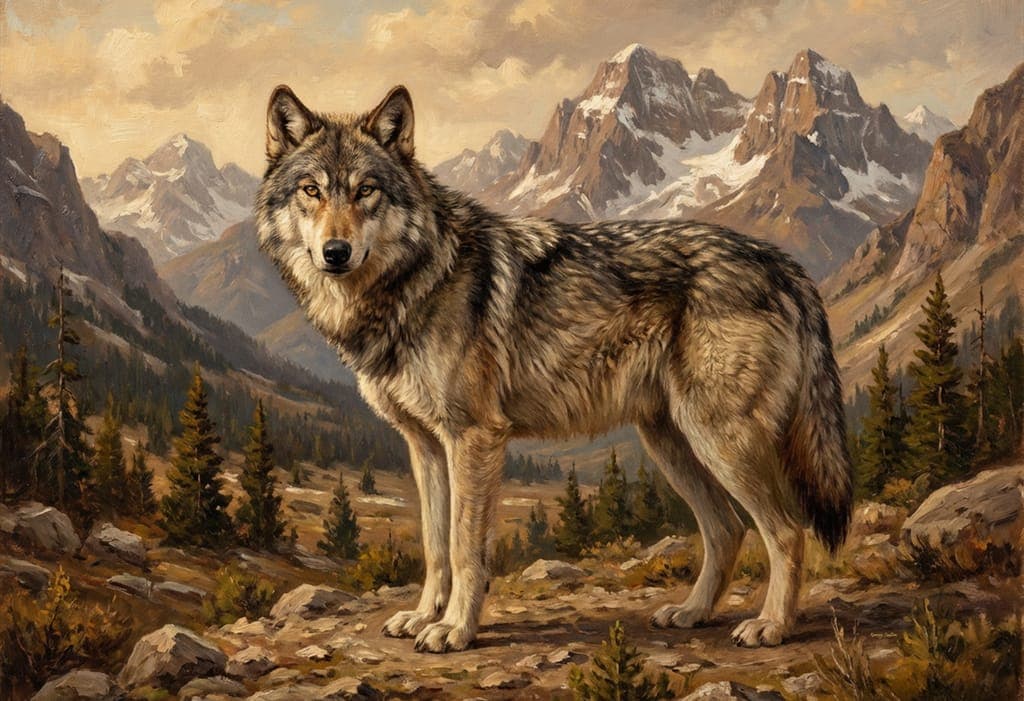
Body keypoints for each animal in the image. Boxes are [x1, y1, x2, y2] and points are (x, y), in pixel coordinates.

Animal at [255, 84, 853, 653]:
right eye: (311, 190)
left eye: (366, 191)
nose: (336, 252)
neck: (413, 280)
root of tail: (781, 263)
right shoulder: (424, 445)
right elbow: (434, 544)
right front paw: (425, 616)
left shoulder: (474, 437)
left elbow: (465, 548)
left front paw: (455, 630)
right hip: (672, 442)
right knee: (726, 529)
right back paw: (693, 612)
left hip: (719, 440)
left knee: (786, 530)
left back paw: (771, 625)